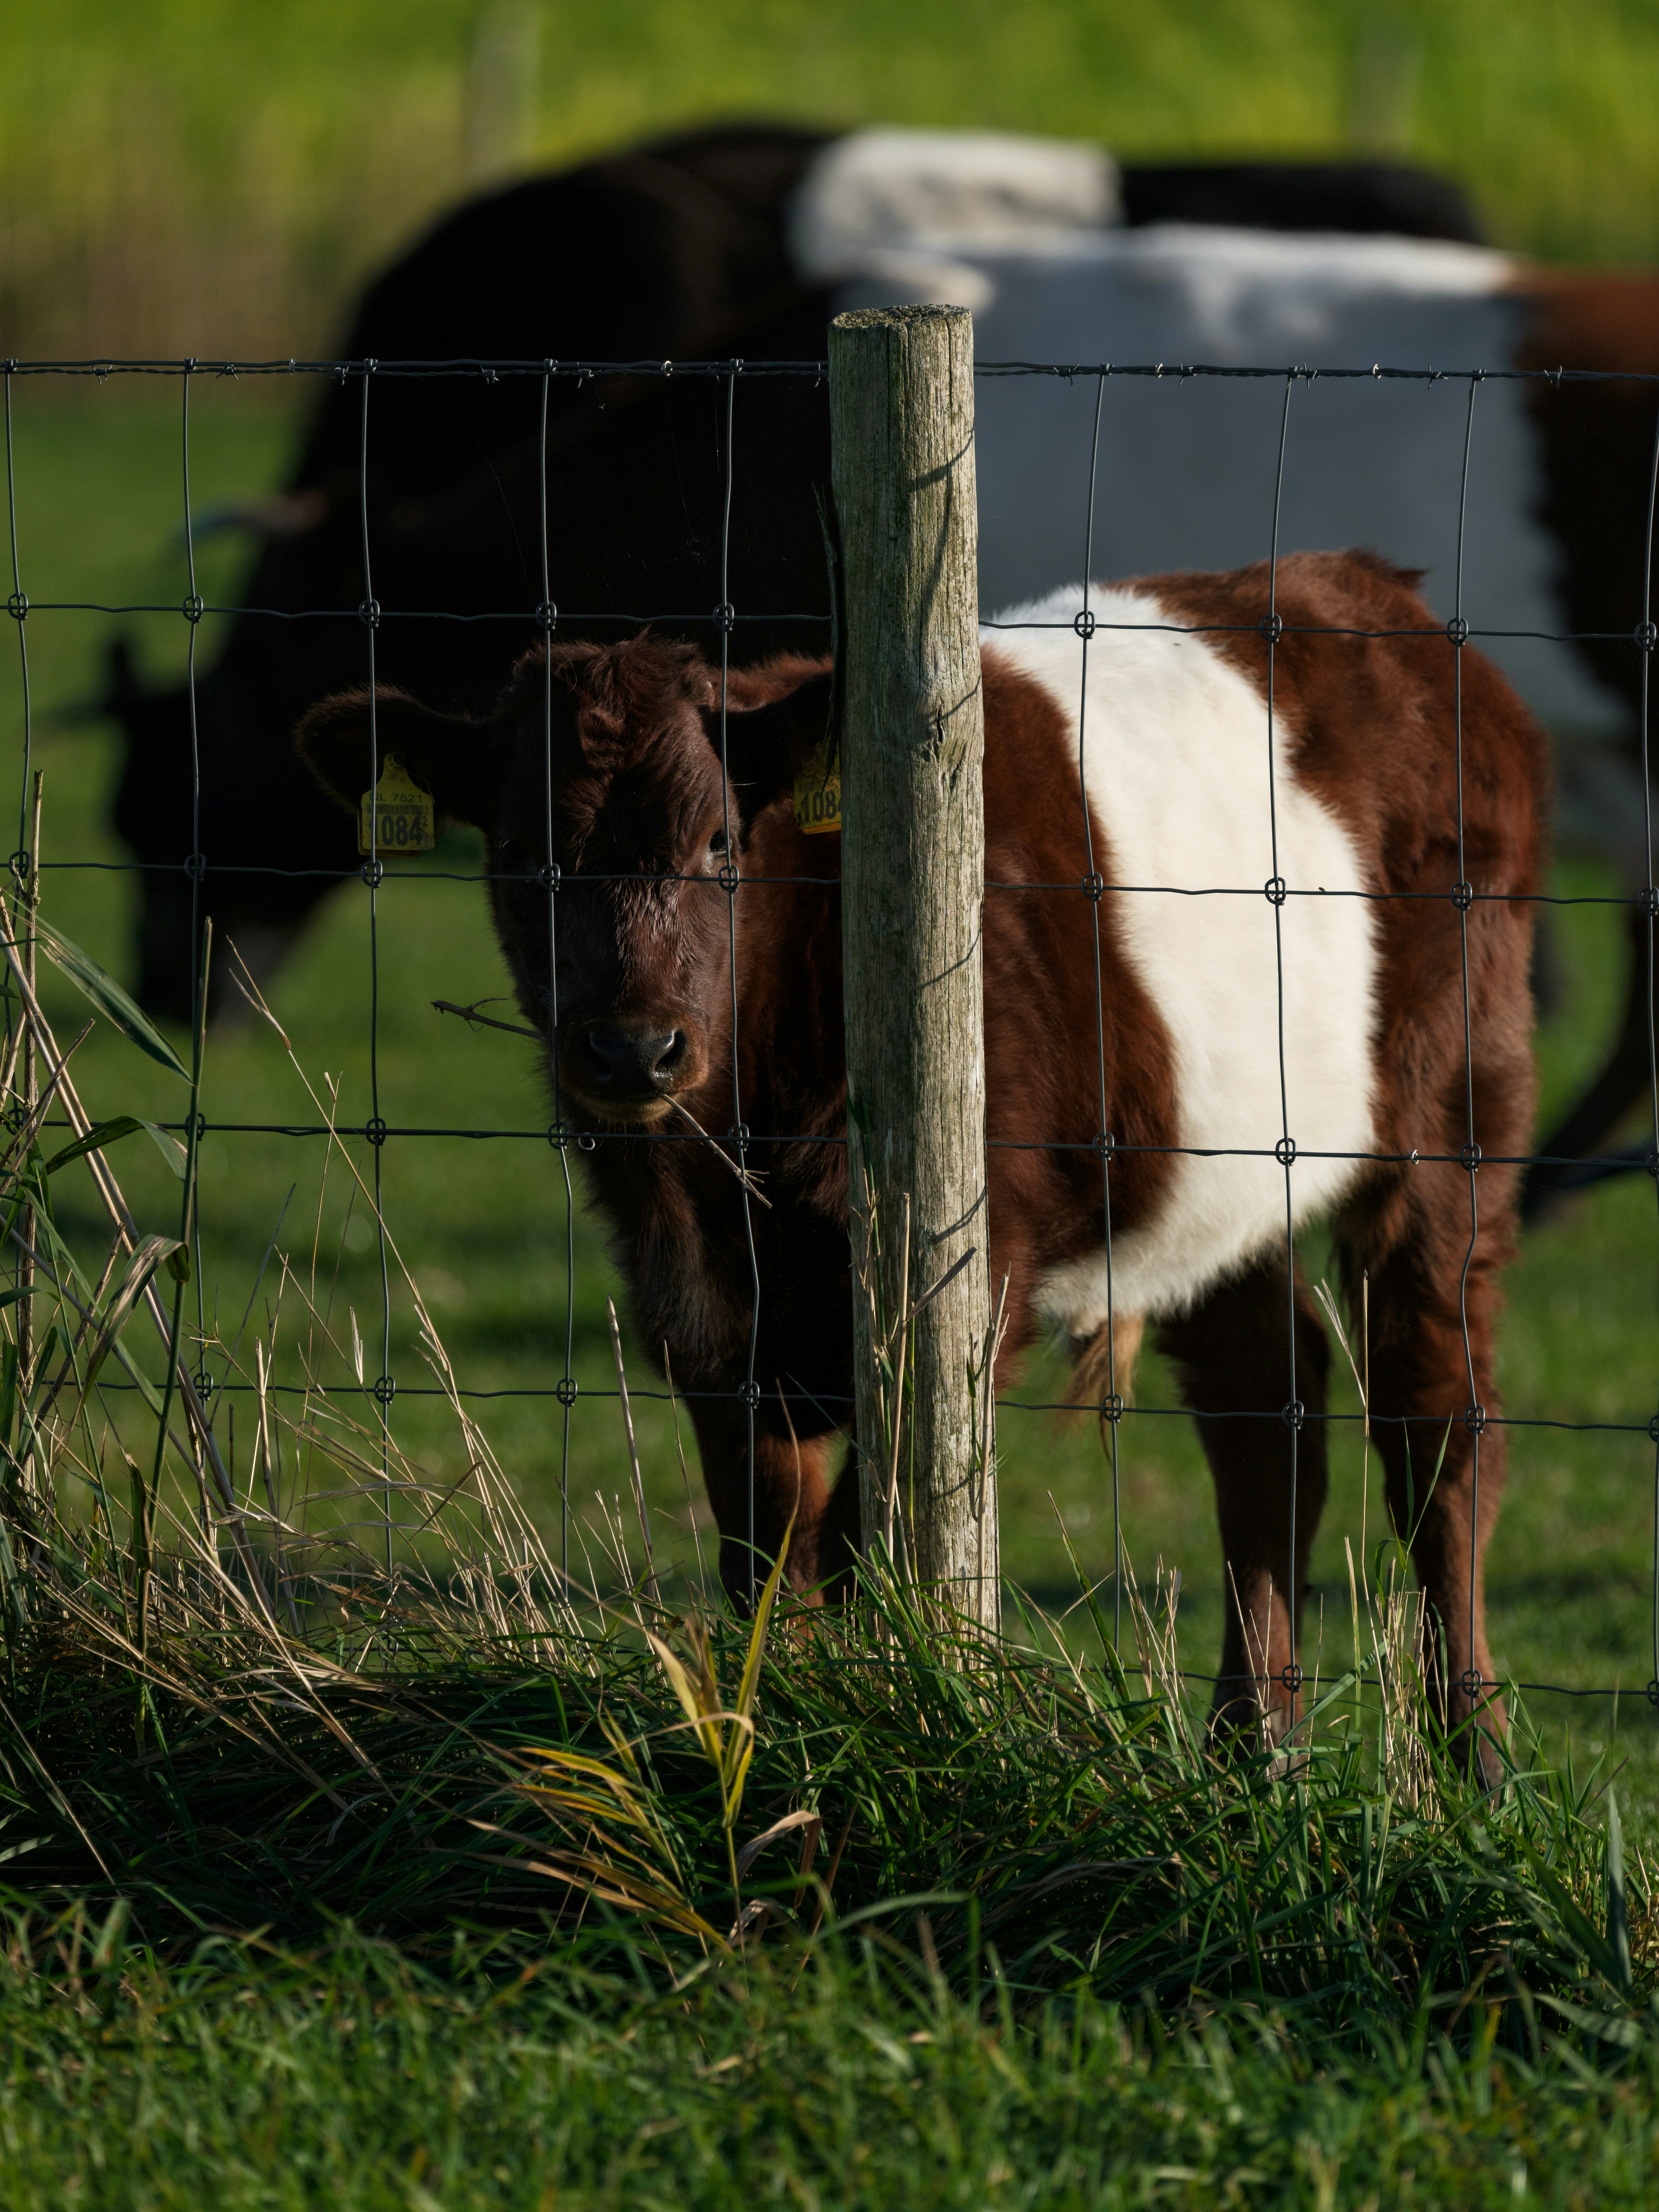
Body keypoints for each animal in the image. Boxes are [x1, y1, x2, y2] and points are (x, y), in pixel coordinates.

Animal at [294, 549, 1545, 1753]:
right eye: (518, 853)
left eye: (719, 839)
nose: (633, 1049)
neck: (731, 1160)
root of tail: (1377, 590)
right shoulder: (712, 1323)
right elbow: (767, 1563)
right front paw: (772, 1738)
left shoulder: (955, 1281)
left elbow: (856, 1554)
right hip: (1224, 1172)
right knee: (1265, 1408)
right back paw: (1252, 1752)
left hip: (1457, 1107)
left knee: (1440, 1424)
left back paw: (1474, 1757)